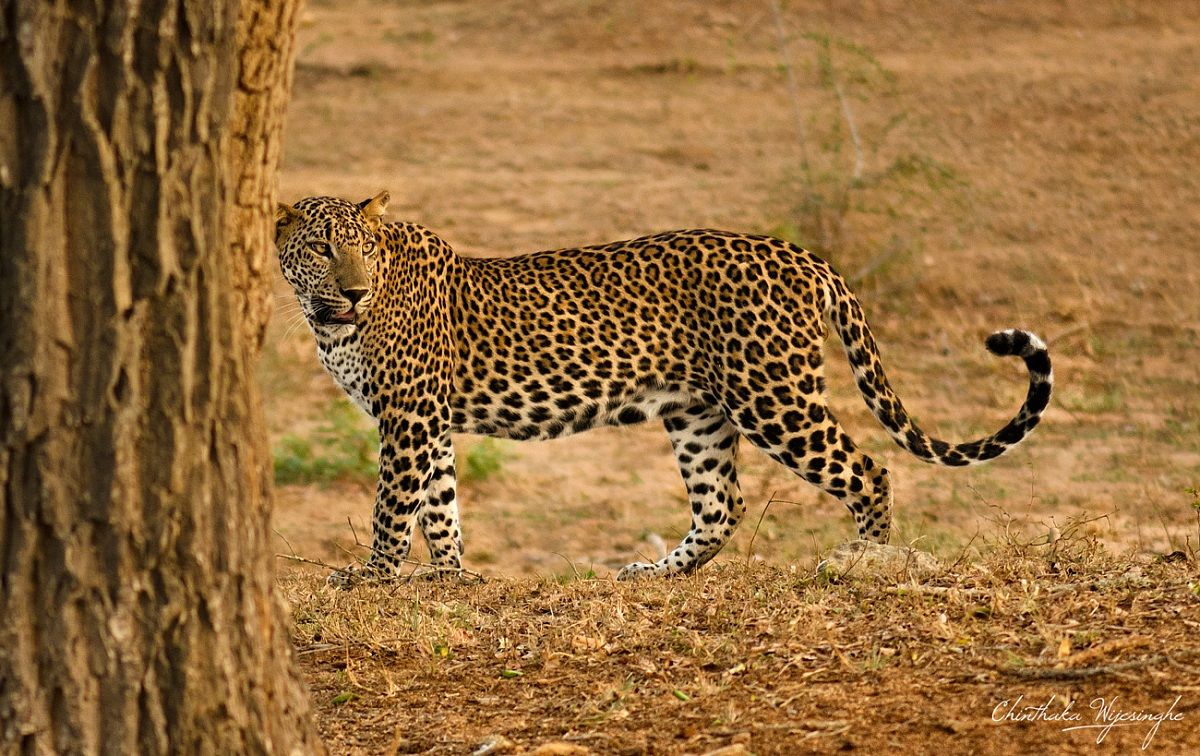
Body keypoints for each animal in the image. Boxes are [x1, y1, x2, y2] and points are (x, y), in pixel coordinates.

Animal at [273, 191, 1052, 583]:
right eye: (322, 249)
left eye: (360, 250)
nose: (353, 290)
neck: (329, 319)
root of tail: (803, 255)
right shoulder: (428, 418)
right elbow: (439, 504)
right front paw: (449, 577)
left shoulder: (407, 416)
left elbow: (391, 506)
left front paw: (373, 577)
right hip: (699, 413)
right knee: (723, 504)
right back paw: (658, 571)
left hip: (773, 396)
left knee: (868, 470)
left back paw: (867, 562)